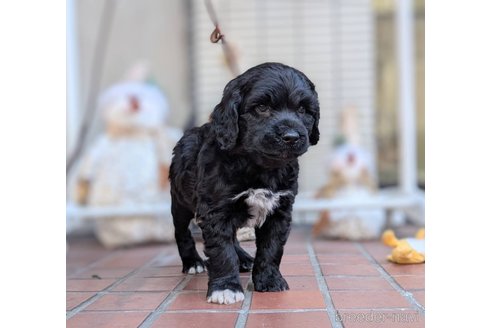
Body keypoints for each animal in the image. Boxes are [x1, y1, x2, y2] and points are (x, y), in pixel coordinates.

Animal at [171, 62, 320, 304]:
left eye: (303, 110)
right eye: (261, 107)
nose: (291, 137)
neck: (260, 166)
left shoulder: (280, 210)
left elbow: (271, 248)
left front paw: (269, 280)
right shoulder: (216, 209)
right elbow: (221, 250)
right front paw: (226, 288)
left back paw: (243, 259)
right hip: (180, 201)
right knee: (182, 232)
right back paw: (192, 262)